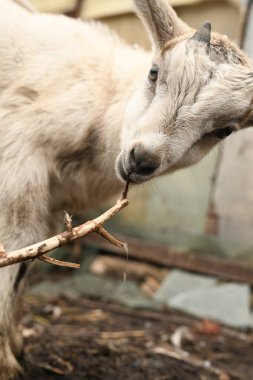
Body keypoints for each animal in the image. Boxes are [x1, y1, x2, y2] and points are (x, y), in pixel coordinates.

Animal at [0, 0, 252, 378]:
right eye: (154, 73)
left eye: (224, 130)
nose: (142, 159)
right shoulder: (17, 162)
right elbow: (17, 244)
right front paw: (5, 362)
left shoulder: (53, 203)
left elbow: (30, 259)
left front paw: (16, 347)